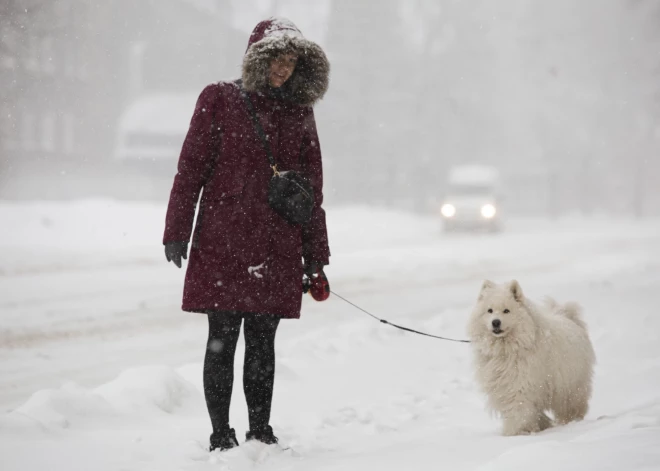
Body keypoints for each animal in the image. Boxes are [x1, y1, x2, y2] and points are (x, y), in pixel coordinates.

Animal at [466, 278, 596, 436]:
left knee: (572, 406)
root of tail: (567, 316)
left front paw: (513, 433)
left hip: (570, 387)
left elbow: (518, 410)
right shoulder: (503, 386)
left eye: (506, 311)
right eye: (489, 311)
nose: (495, 322)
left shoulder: (520, 384)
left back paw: (570, 422)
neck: (506, 349)